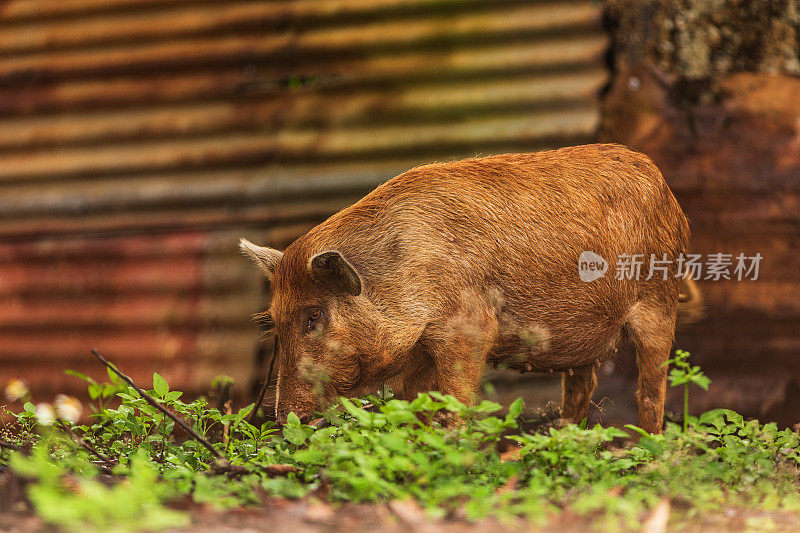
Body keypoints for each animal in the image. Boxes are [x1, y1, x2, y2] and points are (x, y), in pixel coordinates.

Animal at [241, 142, 696, 432]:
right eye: (276, 321)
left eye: (314, 315)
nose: (282, 419)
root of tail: (661, 180)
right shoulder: (419, 354)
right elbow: (417, 405)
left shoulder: (469, 329)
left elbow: (457, 400)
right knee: (581, 387)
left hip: (658, 299)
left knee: (652, 387)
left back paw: (651, 450)